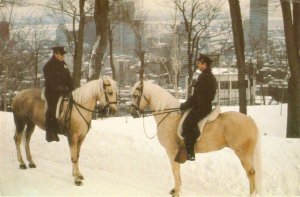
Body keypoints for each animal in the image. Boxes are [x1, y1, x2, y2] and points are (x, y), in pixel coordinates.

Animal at [131, 81, 260, 196]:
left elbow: (175, 170)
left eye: (135, 95)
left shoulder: (171, 151)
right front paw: (176, 189)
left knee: (251, 173)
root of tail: (250, 120)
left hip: (243, 153)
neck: (169, 116)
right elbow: (177, 171)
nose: (133, 113)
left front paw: (177, 192)